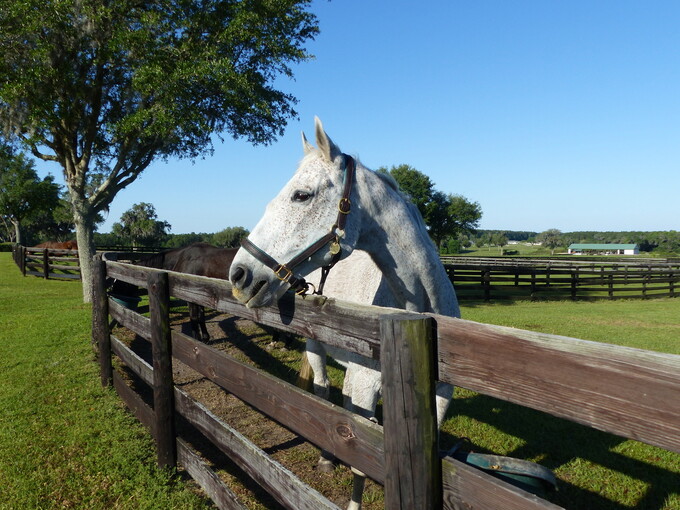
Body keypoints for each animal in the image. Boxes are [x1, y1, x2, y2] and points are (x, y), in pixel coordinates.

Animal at [230, 117, 462, 508]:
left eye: (301, 195)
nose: (239, 275)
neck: (420, 315)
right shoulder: (364, 388)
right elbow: (360, 459)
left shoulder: (440, 401)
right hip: (315, 348)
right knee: (323, 391)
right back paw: (327, 457)